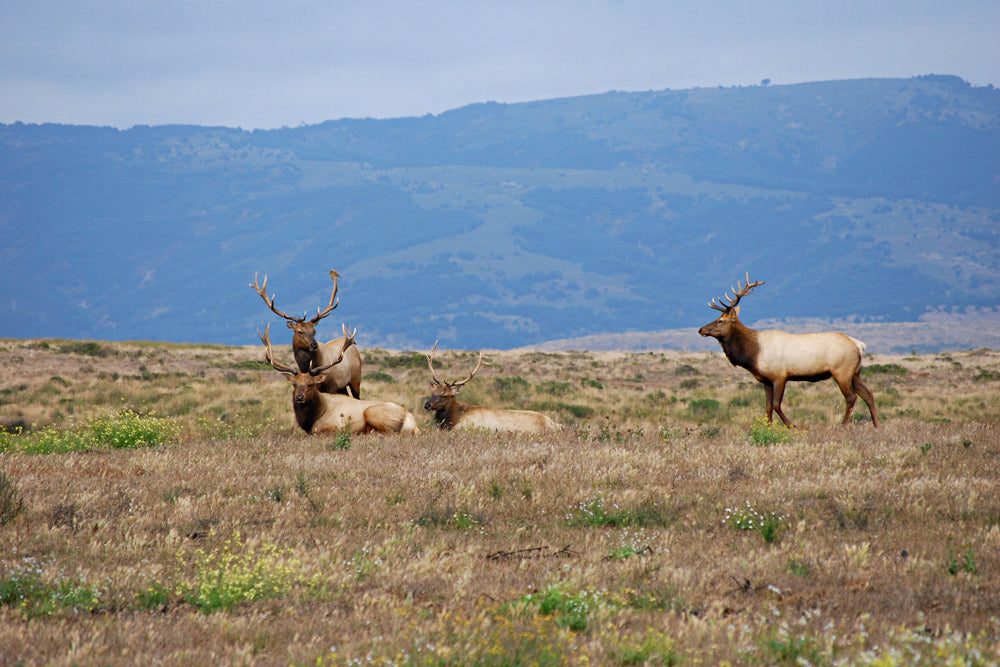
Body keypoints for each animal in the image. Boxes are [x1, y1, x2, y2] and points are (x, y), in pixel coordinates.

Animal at [258, 324, 418, 438]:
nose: (299, 397)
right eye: (294, 384)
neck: (312, 417)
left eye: (311, 384)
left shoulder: (333, 426)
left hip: (371, 411)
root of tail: (412, 422)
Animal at [700, 276, 880, 428]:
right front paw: (768, 428)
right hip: (855, 372)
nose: (700, 329)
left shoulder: (780, 376)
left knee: (851, 397)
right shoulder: (766, 380)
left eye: (720, 320)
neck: (753, 354)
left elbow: (776, 405)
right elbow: (767, 407)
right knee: (868, 394)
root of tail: (858, 345)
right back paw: (877, 425)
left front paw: (792, 426)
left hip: (841, 371)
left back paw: (843, 426)